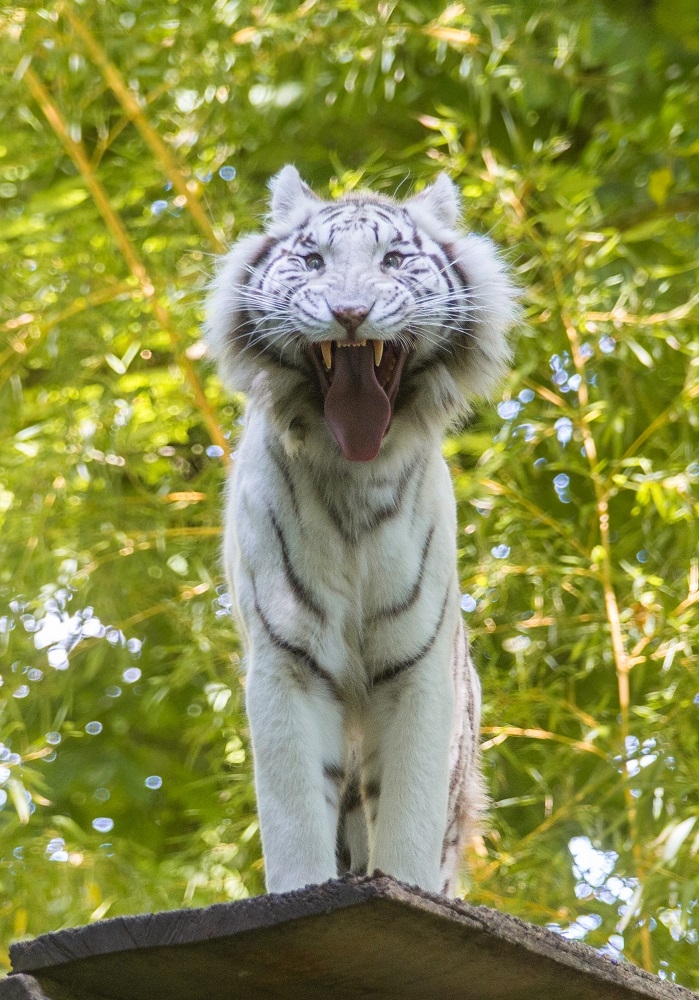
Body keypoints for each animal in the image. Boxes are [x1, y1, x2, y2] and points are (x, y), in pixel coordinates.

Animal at [205, 165, 516, 896]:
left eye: (393, 260)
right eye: (314, 261)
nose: (349, 314)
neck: (354, 476)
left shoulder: (416, 669)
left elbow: (407, 822)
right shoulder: (287, 662)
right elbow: (294, 817)